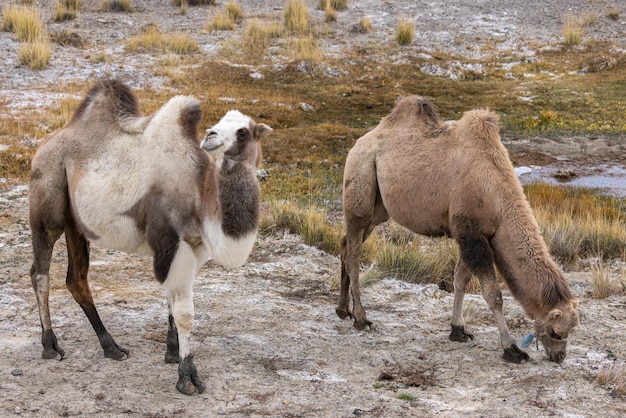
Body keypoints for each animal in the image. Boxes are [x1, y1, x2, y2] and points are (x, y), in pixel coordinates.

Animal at [28, 79, 270, 396]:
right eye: (217, 124)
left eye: (243, 131)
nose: (210, 135)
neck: (200, 192)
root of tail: (46, 143)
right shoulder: (172, 242)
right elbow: (185, 313)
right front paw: (187, 376)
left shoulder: (190, 247)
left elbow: (171, 298)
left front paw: (171, 351)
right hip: (48, 204)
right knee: (40, 273)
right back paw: (50, 345)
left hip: (76, 223)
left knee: (76, 279)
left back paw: (111, 347)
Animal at [336, 96, 580, 364]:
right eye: (556, 332)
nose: (559, 357)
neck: (496, 197)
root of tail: (360, 142)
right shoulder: (472, 235)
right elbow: (493, 295)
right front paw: (511, 348)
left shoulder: (469, 235)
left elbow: (460, 279)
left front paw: (458, 330)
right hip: (360, 189)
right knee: (354, 253)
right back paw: (361, 318)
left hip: (378, 210)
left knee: (346, 244)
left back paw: (342, 310)